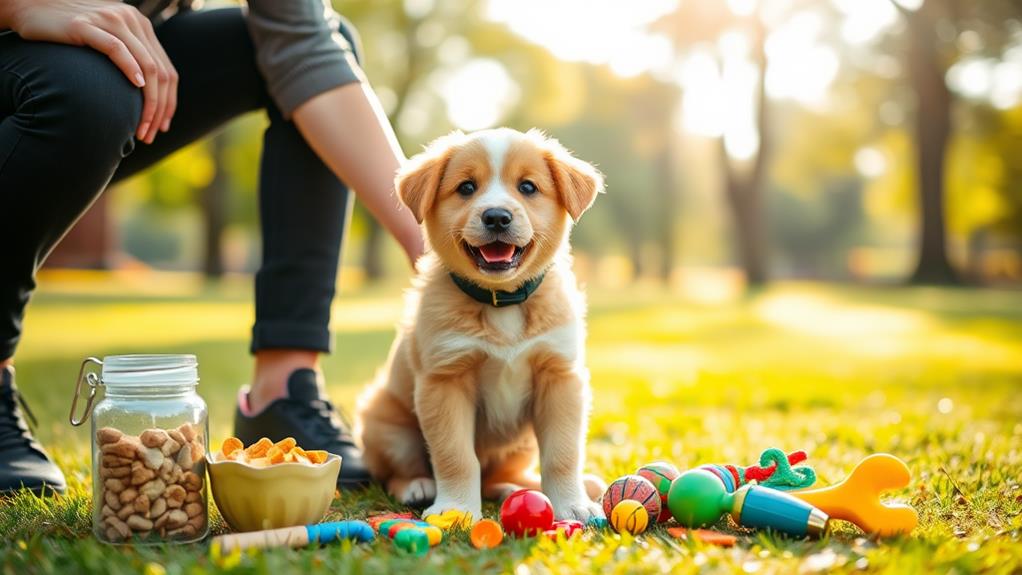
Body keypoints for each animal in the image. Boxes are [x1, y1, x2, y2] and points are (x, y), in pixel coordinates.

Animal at [355, 128, 600, 522]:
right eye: (466, 187)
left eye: (528, 187)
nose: (497, 217)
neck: (501, 303)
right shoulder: (445, 380)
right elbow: (455, 456)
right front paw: (455, 508)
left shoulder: (560, 377)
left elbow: (562, 454)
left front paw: (572, 504)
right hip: (388, 427)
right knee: (396, 471)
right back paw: (415, 486)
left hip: (520, 443)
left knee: (497, 476)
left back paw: (517, 487)